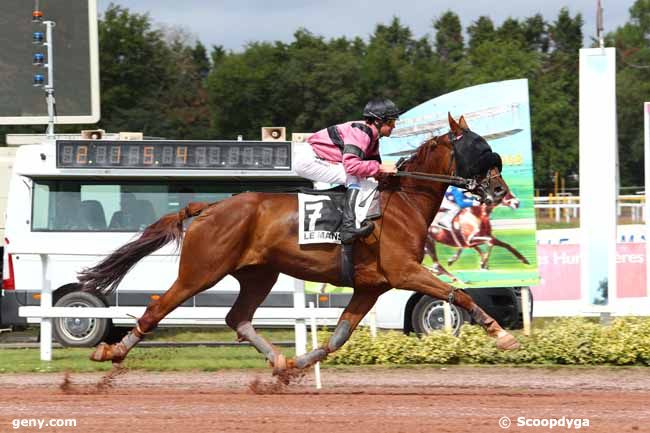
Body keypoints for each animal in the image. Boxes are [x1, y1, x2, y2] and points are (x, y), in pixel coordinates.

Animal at [78, 115, 520, 372]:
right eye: (479, 148)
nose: (500, 191)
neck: (402, 202)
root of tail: (210, 207)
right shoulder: (404, 272)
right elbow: (459, 295)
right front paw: (502, 335)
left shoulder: (370, 286)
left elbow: (339, 337)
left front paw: (300, 363)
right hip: (201, 271)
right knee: (158, 307)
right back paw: (111, 352)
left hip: (259, 274)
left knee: (237, 317)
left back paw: (278, 359)